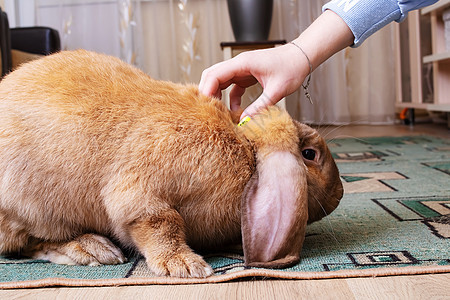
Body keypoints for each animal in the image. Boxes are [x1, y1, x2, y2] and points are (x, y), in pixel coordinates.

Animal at [0, 50, 342, 278]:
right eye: (310, 155)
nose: (340, 194)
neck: (248, 149)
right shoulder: (142, 198)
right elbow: (159, 224)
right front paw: (187, 267)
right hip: (29, 209)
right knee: (28, 244)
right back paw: (93, 250)